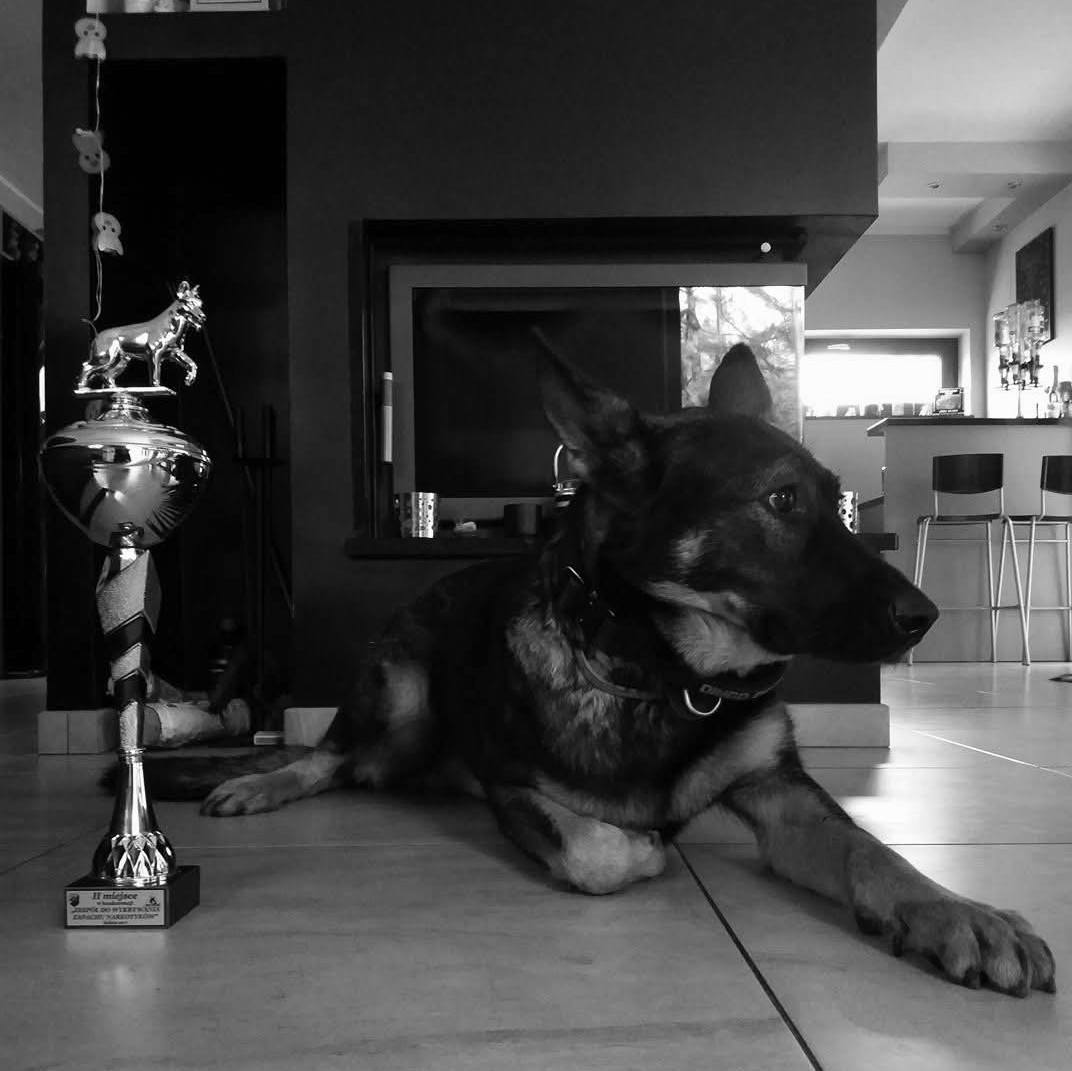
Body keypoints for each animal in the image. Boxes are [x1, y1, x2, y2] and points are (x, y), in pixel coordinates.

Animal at [143, 344, 1054, 996]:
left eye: (834, 498)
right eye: (780, 501)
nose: (925, 616)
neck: (662, 672)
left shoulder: (780, 790)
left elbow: (871, 851)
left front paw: (955, 912)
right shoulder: (514, 786)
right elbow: (600, 851)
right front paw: (644, 844)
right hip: (399, 690)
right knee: (332, 757)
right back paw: (261, 782)